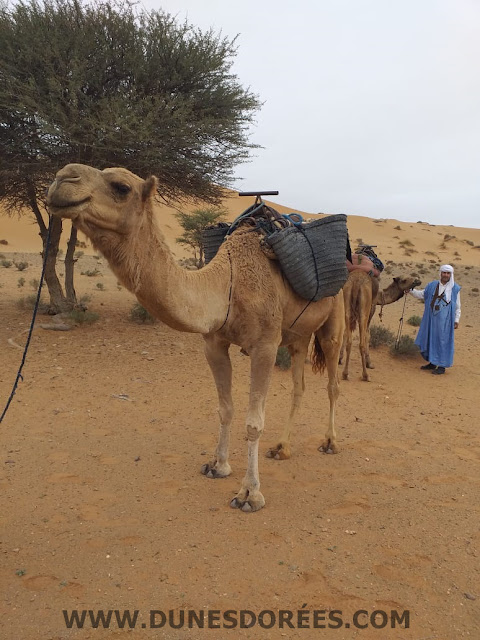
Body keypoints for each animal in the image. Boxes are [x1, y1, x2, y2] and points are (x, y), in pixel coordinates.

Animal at [47, 162, 346, 512]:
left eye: (121, 187)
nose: (63, 179)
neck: (227, 283)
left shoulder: (265, 346)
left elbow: (253, 422)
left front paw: (249, 493)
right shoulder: (214, 343)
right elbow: (225, 408)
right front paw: (218, 465)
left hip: (334, 323)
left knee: (332, 383)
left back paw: (330, 442)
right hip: (298, 335)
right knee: (298, 387)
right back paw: (282, 448)